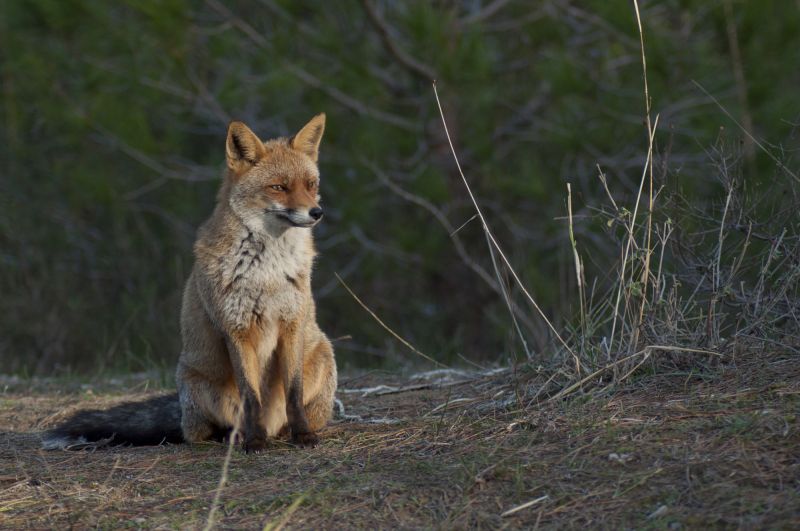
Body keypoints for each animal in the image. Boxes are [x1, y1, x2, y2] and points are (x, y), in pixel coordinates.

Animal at [43, 113, 338, 454]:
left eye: (311, 185)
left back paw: (284, 431)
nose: (316, 212)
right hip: (196, 385)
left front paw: (303, 435)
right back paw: (235, 435)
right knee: (201, 432)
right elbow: (250, 396)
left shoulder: (291, 323)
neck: (268, 273)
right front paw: (254, 441)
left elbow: (293, 391)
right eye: (278, 187)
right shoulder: (236, 328)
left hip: (323, 353)